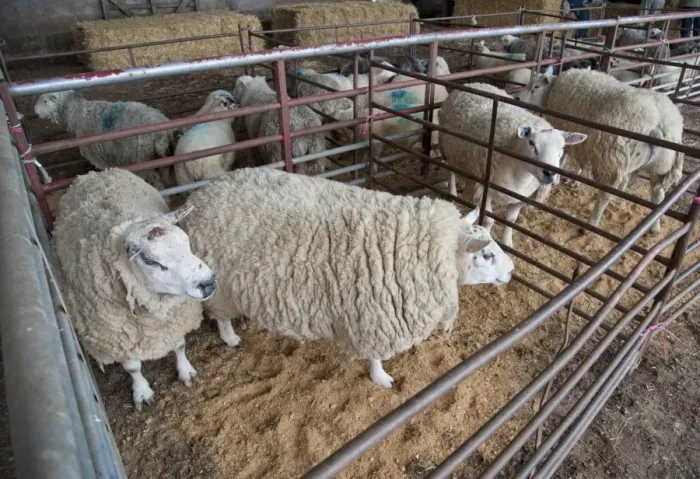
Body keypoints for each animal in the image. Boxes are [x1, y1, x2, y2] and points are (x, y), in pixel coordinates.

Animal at [34, 90, 177, 190]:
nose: (35, 111)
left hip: (142, 159)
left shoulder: (97, 157)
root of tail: (161, 133)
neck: (76, 115)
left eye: (45, 101)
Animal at [52, 168, 229, 410]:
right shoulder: (116, 337)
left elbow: (179, 346)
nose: (208, 282)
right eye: (150, 260)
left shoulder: (174, 322)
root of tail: (92, 174)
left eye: (186, 241)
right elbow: (133, 367)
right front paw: (142, 392)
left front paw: (186, 372)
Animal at [180, 167, 514, 388]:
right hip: (218, 287)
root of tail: (203, 193)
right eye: (486, 255)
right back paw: (230, 337)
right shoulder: (374, 317)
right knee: (220, 316)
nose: (512, 270)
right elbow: (376, 356)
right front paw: (381, 378)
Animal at [440, 83, 587, 248]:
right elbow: (489, 220)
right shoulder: (485, 191)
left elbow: (511, 221)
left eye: (562, 147)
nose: (550, 173)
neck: (521, 175)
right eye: (531, 143)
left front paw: (508, 243)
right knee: (451, 171)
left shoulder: (521, 198)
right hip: (449, 147)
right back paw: (452, 193)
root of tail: (474, 83)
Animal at [515, 68, 684, 234]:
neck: (551, 90)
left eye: (536, 87)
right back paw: (655, 227)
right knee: (658, 195)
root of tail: (659, 123)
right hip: (660, 167)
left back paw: (590, 224)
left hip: (611, 161)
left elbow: (563, 159)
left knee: (605, 196)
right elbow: (579, 162)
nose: (517, 98)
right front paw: (574, 179)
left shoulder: (564, 129)